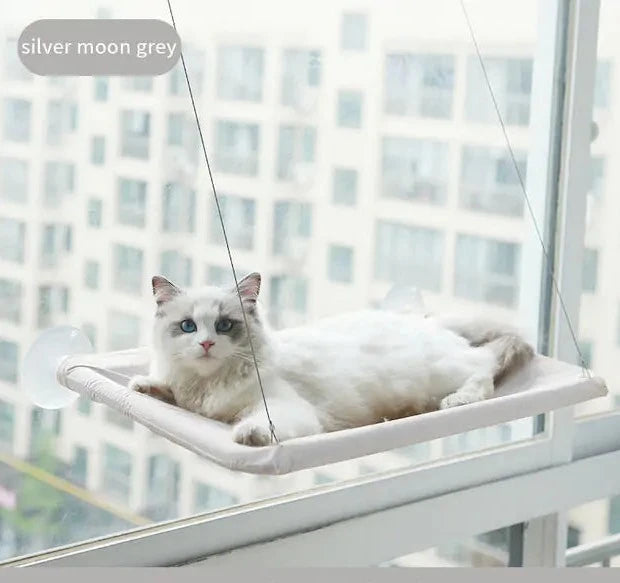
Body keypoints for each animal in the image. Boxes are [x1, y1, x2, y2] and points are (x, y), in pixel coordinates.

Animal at [130, 274, 532, 448]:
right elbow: (166, 390)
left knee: (485, 368)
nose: (207, 343)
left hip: (442, 372)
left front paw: (249, 434)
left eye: (225, 325)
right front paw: (144, 386)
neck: (207, 385)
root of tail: (425, 321)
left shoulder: (283, 408)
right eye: (188, 326)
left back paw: (458, 400)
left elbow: (260, 423)